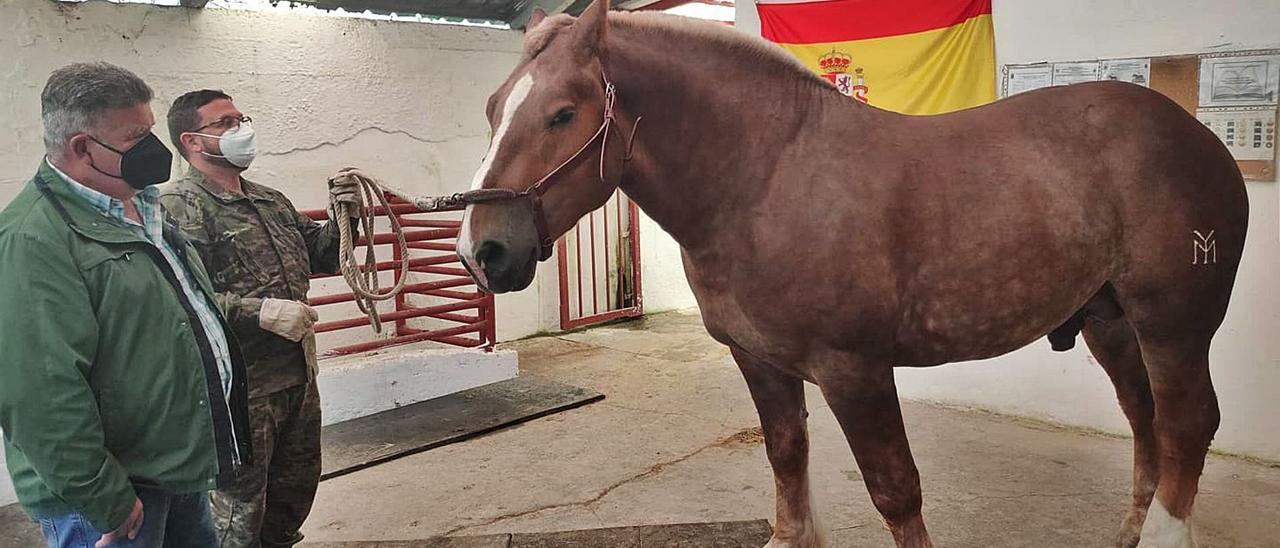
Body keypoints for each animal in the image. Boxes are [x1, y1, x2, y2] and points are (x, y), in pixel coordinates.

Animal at [453, 2, 1249, 545]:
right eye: (490, 108)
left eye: (562, 113)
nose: (481, 251)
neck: (764, 178)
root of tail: (1197, 135)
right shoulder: (761, 362)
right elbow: (786, 459)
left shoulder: (855, 371)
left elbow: (896, 491)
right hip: (1111, 322)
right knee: (1146, 421)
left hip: (1173, 325)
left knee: (1188, 425)